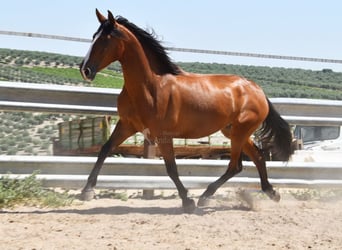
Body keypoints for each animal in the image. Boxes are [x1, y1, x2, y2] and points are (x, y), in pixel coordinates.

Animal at [79, 9, 292, 213]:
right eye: (93, 36)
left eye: (105, 40)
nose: (85, 70)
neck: (150, 87)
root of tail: (257, 89)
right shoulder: (127, 125)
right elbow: (105, 149)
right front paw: (86, 191)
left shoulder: (163, 135)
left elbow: (171, 168)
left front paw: (187, 201)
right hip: (233, 131)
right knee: (256, 158)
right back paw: (270, 192)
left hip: (240, 131)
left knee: (235, 165)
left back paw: (206, 196)